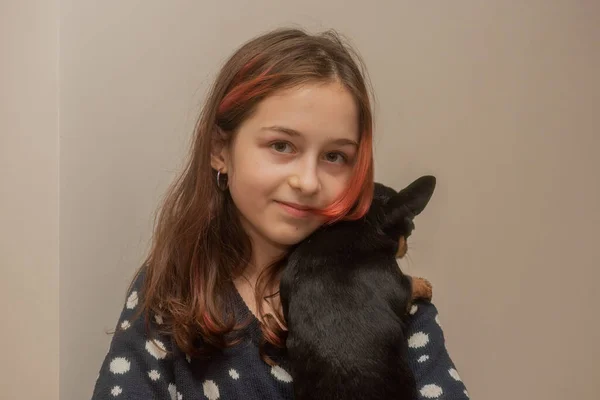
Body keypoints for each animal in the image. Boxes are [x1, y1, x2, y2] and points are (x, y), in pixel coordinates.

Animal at [282, 175, 436, 400]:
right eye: (410, 227)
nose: (406, 246)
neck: (360, 226)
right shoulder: (400, 286)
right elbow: (410, 282)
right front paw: (424, 284)